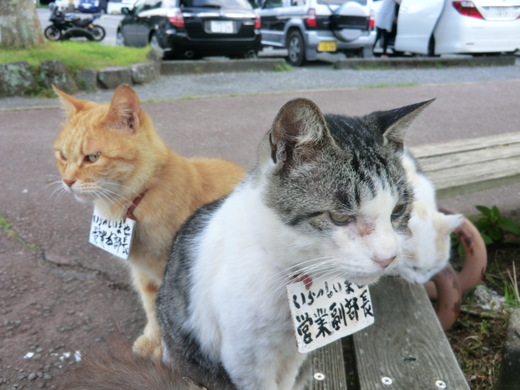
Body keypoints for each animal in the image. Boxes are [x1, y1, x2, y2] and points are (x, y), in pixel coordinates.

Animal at [52, 84, 246, 360]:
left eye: (92, 157)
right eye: (62, 155)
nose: (67, 182)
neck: (135, 202)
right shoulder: (143, 277)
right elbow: (152, 311)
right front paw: (152, 341)